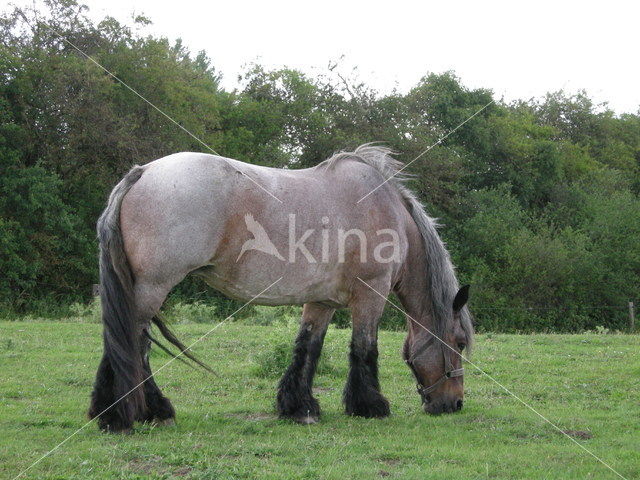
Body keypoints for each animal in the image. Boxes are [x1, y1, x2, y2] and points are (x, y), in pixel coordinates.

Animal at [87, 145, 472, 432]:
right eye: (459, 343)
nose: (454, 403)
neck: (385, 210)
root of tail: (144, 172)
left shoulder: (320, 301)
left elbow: (308, 348)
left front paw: (299, 407)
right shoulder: (371, 295)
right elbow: (364, 348)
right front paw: (370, 405)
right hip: (153, 288)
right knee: (133, 344)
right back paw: (130, 414)